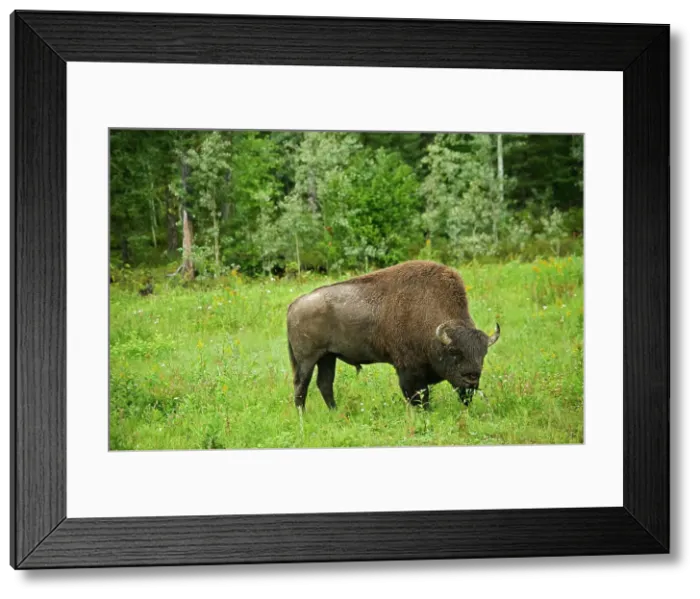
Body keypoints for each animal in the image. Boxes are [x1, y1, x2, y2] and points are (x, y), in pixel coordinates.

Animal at [286, 260, 500, 411]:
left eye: (483, 354)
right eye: (454, 352)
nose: (472, 379)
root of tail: (294, 305)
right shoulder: (408, 370)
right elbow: (418, 395)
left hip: (327, 357)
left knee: (324, 384)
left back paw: (334, 411)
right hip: (307, 360)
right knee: (301, 385)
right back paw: (302, 415)